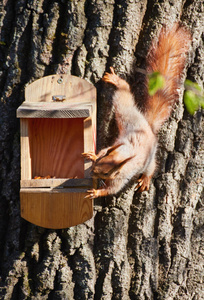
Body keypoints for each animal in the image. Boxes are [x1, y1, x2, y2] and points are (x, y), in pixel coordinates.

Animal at [83, 22, 191, 197]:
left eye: (106, 173)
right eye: (102, 158)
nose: (92, 172)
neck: (123, 154)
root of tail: (148, 126)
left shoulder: (122, 176)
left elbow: (112, 189)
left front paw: (97, 192)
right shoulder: (113, 147)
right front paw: (93, 155)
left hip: (148, 155)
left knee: (151, 167)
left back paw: (146, 179)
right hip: (127, 115)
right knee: (124, 95)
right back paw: (117, 81)